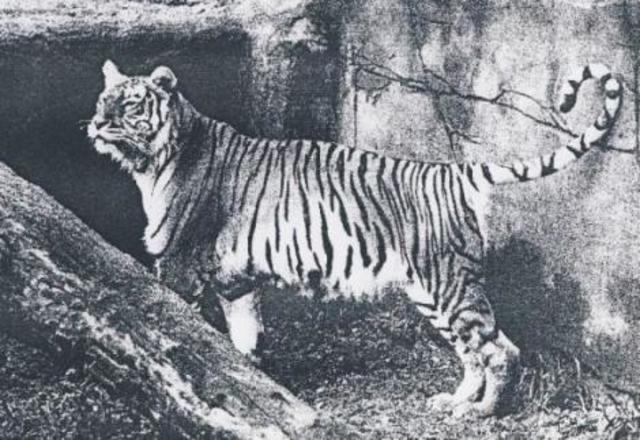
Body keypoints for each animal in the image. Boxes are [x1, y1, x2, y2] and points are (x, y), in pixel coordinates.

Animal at [88, 59, 622, 417]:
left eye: (129, 104)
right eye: (101, 101)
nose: (94, 123)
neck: (152, 161)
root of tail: (455, 170)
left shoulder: (177, 263)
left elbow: (172, 328)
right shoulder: (235, 280)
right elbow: (242, 338)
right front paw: (248, 380)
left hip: (448, 285)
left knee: (500, 350)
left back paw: (480, 413)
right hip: (430, 290)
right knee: (474, 350)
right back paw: (453, 399)